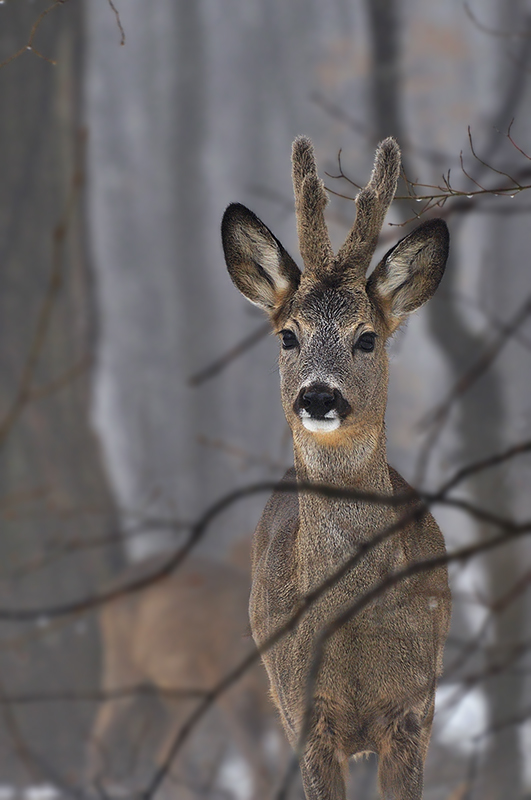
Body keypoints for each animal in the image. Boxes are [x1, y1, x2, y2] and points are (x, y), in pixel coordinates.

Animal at [88, 552, 304, 800]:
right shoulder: (230, 693)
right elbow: (261, 768)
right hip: (124, 665)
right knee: (105, 726)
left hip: (181, 692)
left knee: (165, 751)